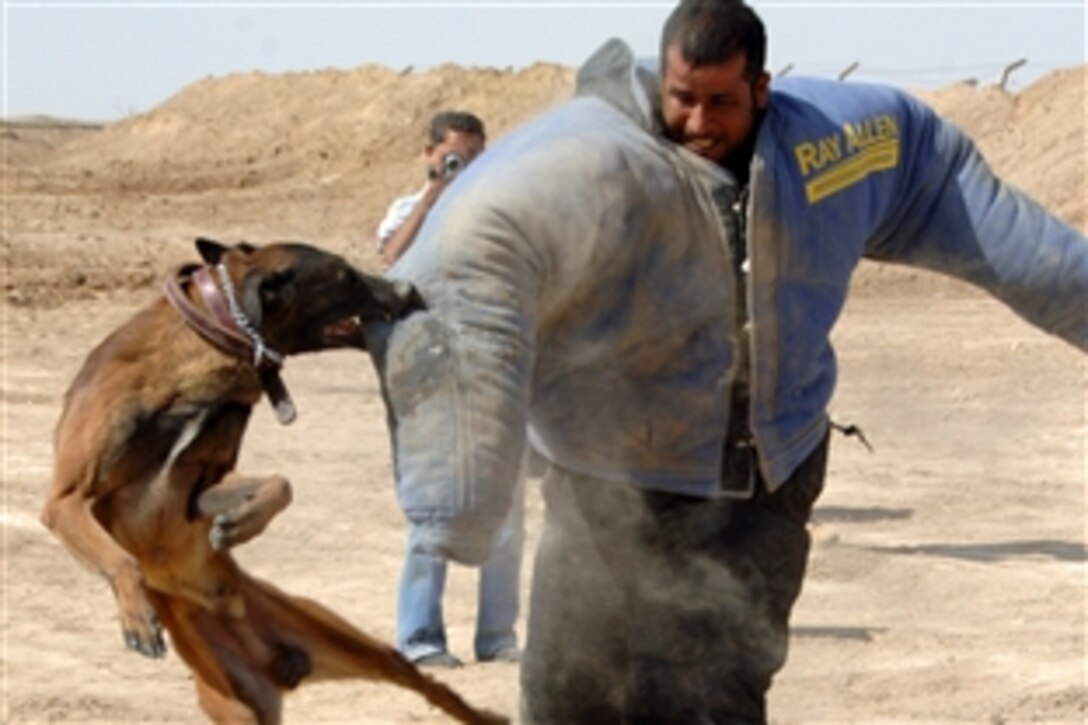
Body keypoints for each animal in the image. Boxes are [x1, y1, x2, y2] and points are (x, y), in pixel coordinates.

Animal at [39, 238, 504, 722]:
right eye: (345, 276)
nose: (408, 289)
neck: (197, 364)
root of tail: (272, 658)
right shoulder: (65, 500)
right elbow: (122, 560)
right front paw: (138, 615)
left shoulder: (200, 486)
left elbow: (281, 484)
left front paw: (239, 526)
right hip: (231, 700)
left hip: (351, 642)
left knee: (427, 684)